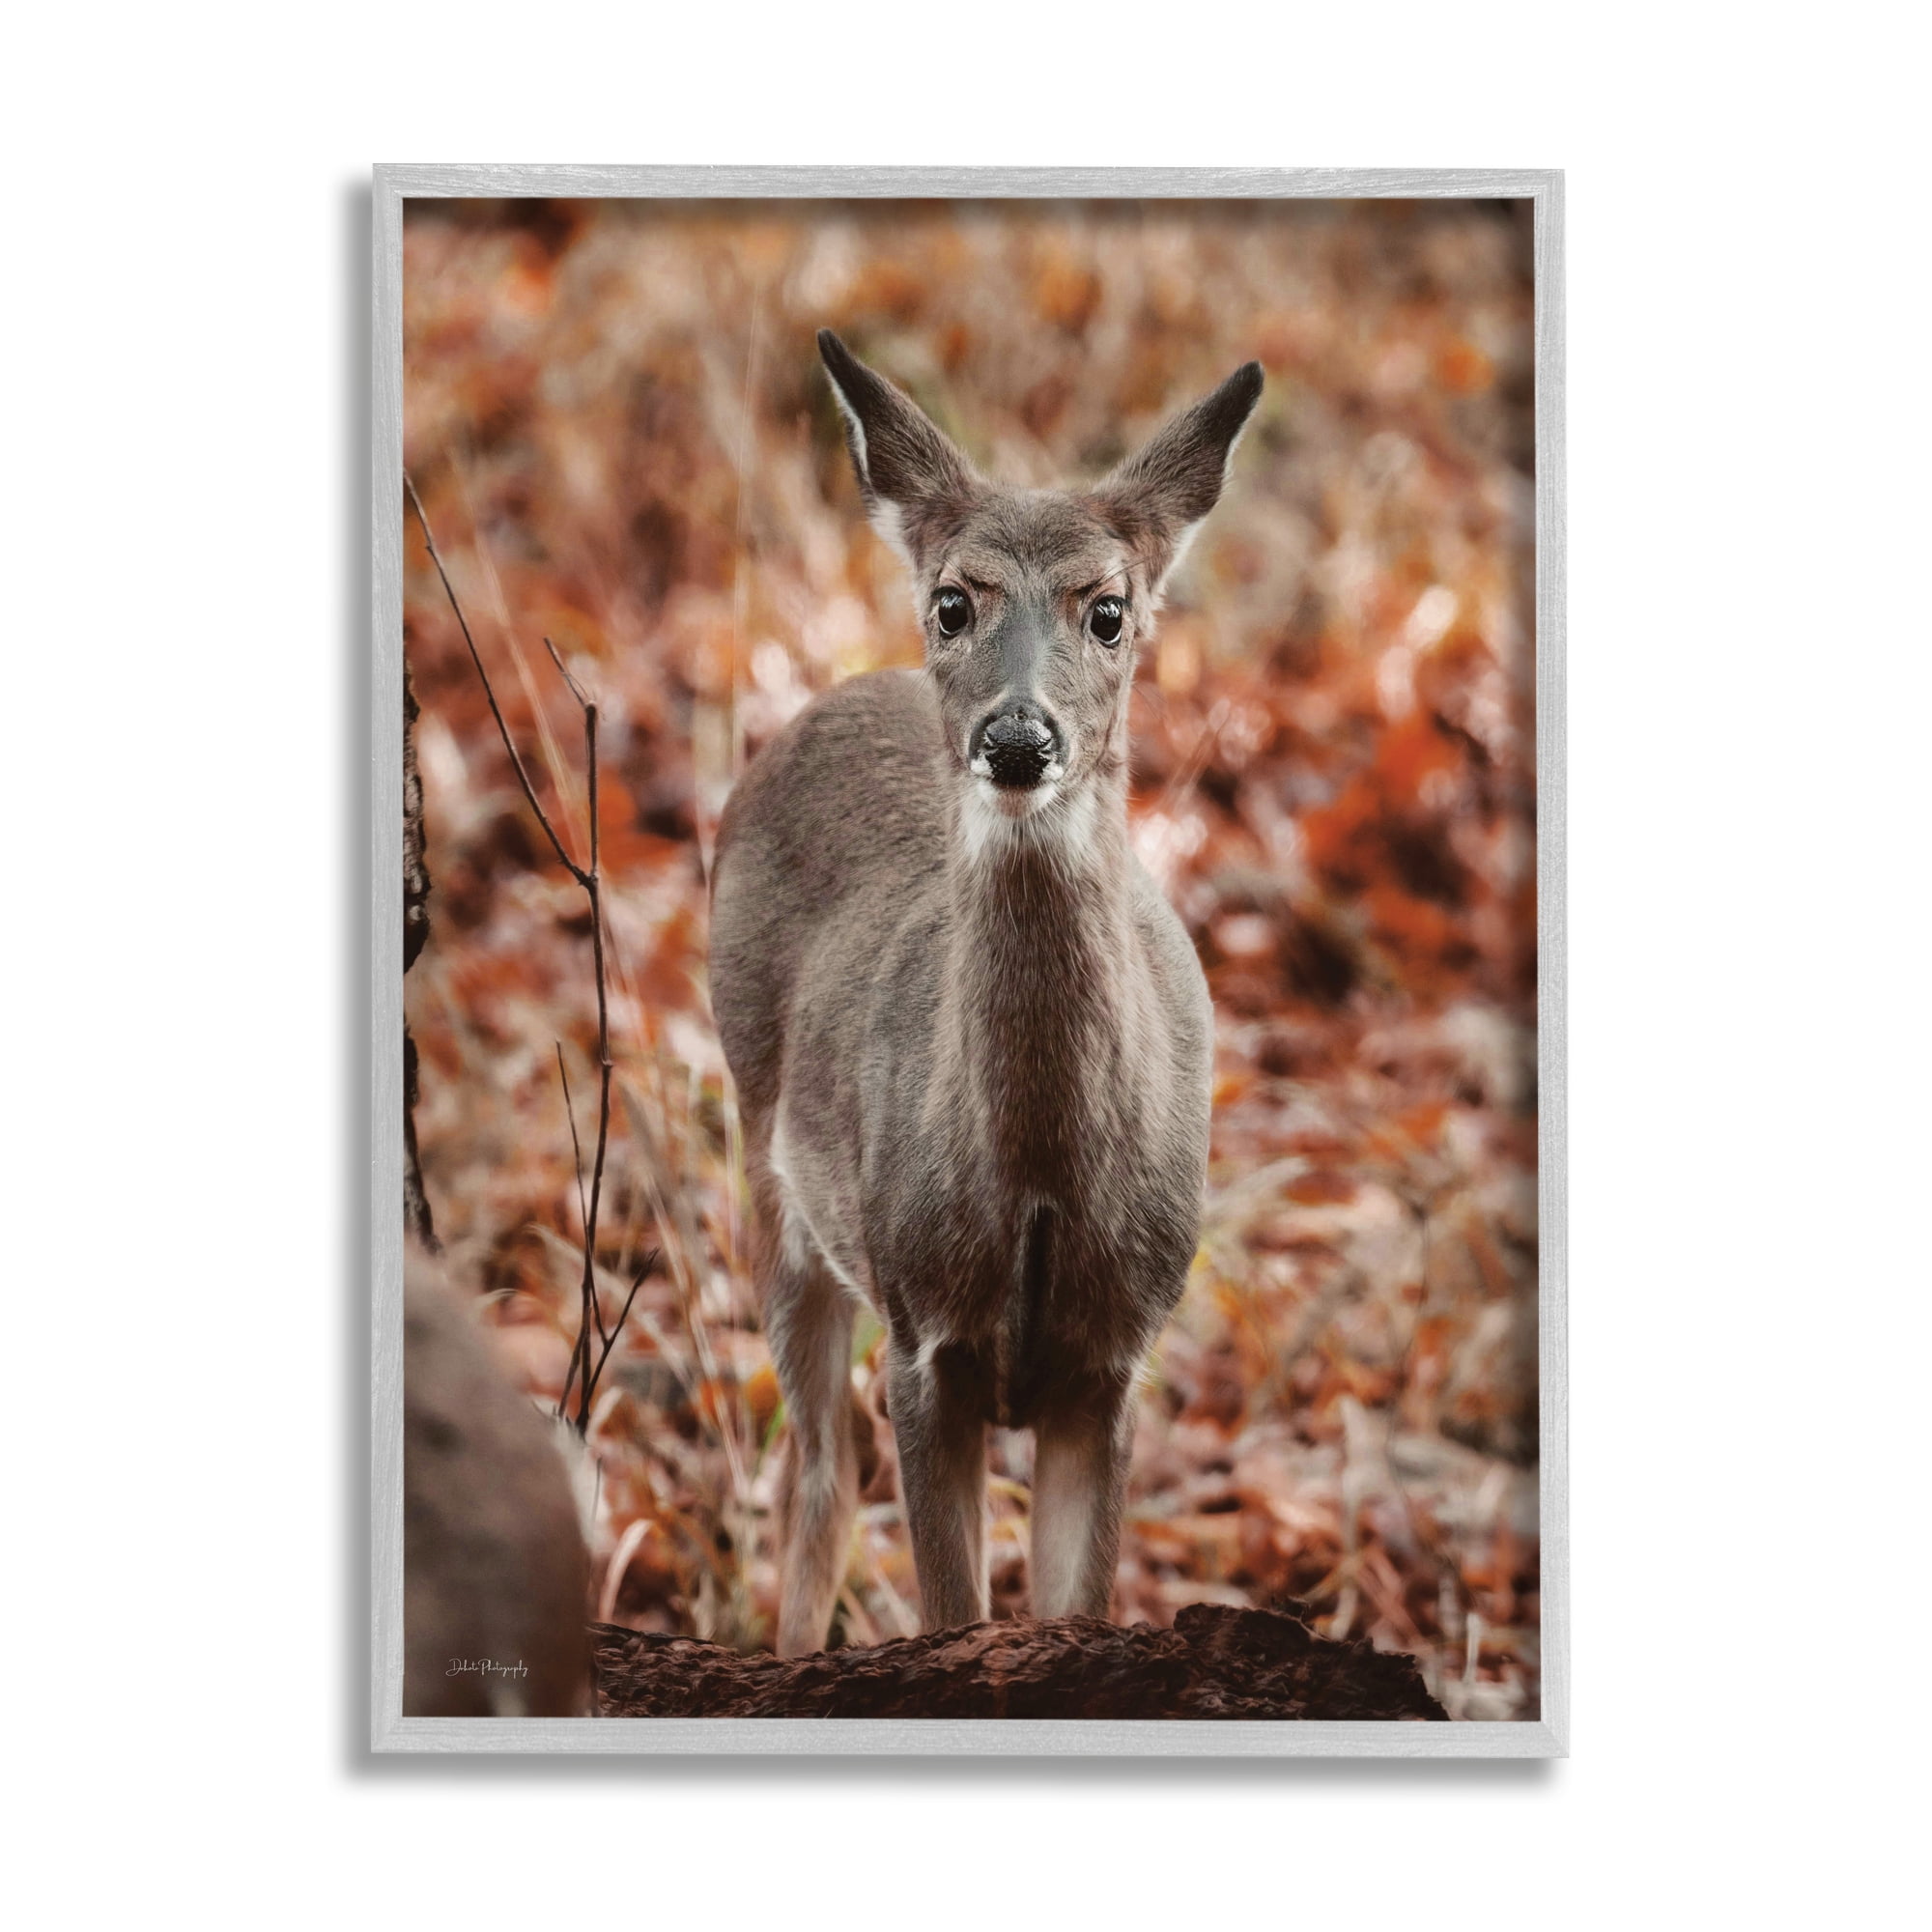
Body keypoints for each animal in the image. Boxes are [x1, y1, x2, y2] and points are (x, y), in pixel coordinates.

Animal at [710, 330, 1263, 1656]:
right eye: (953, 601)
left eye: (1108, 609)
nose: (1018, 738)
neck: (1037, 1178)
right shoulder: (925, 1335)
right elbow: (950, 1608)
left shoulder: (1114, 1359)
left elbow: (1076, 1603)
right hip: (773, 1173)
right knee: (816, 1471)